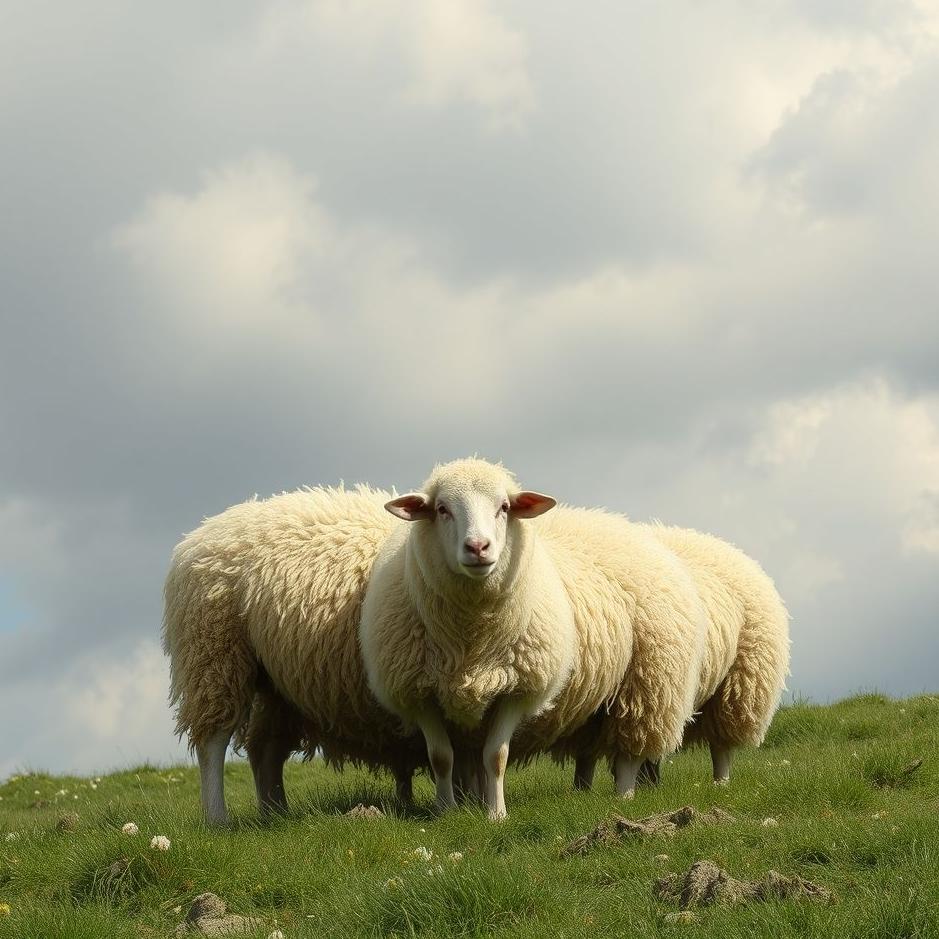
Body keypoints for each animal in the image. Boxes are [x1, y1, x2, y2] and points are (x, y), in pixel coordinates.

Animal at [162, 485, 426, 825]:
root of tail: (196, 537)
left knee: (265, 748)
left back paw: (276, 814)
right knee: (213, 741)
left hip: (278, 684)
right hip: (215, 653)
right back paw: (218, 818)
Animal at [359, 458, 708, 818]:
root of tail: (635, 530)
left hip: (651, 685)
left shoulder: (518, 687)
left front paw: (497, 815)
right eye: (442, 509)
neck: (472, 637)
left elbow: (496, 756)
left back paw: (624, 797)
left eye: (504, 507)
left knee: (630, 752)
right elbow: (441, 758)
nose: (478, 548)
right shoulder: (417, 692)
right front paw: (446, 811)